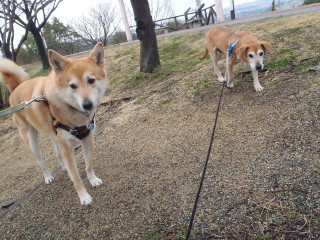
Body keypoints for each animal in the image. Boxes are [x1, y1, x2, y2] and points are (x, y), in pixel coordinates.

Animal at [0, 42, 107, 204]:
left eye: (91, 80)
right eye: (72, 86)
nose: (87, 105)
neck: (72, 110)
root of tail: (16, 87)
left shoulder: (88, 139)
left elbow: (89, 165)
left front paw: (93, 180)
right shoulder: (67, 148)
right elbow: (76, 178)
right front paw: (84, 197)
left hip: (54, 136)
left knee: (58, 153)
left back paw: (64, 167)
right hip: (32, 141)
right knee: (40, 161)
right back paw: (48, 176)